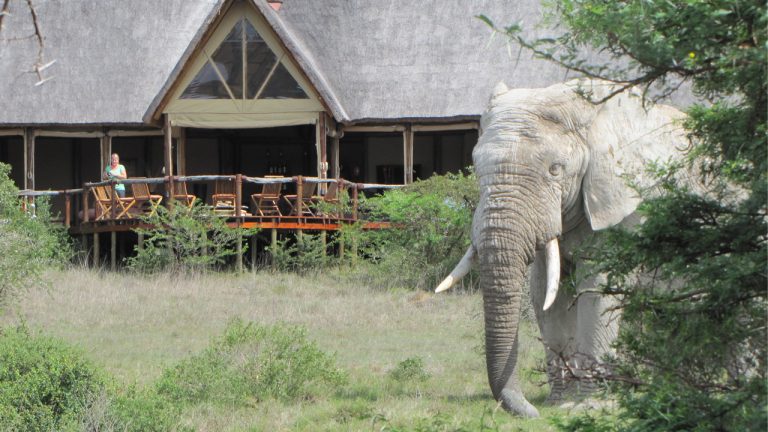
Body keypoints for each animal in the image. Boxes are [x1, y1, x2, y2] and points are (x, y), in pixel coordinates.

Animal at [435, 79, 689, 417]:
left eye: (555, 169)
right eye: (475, 168)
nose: (532, 411)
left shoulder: (626, 205)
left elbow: (598, 289)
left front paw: (589, 406)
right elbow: (546, 293)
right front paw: (559, 402)